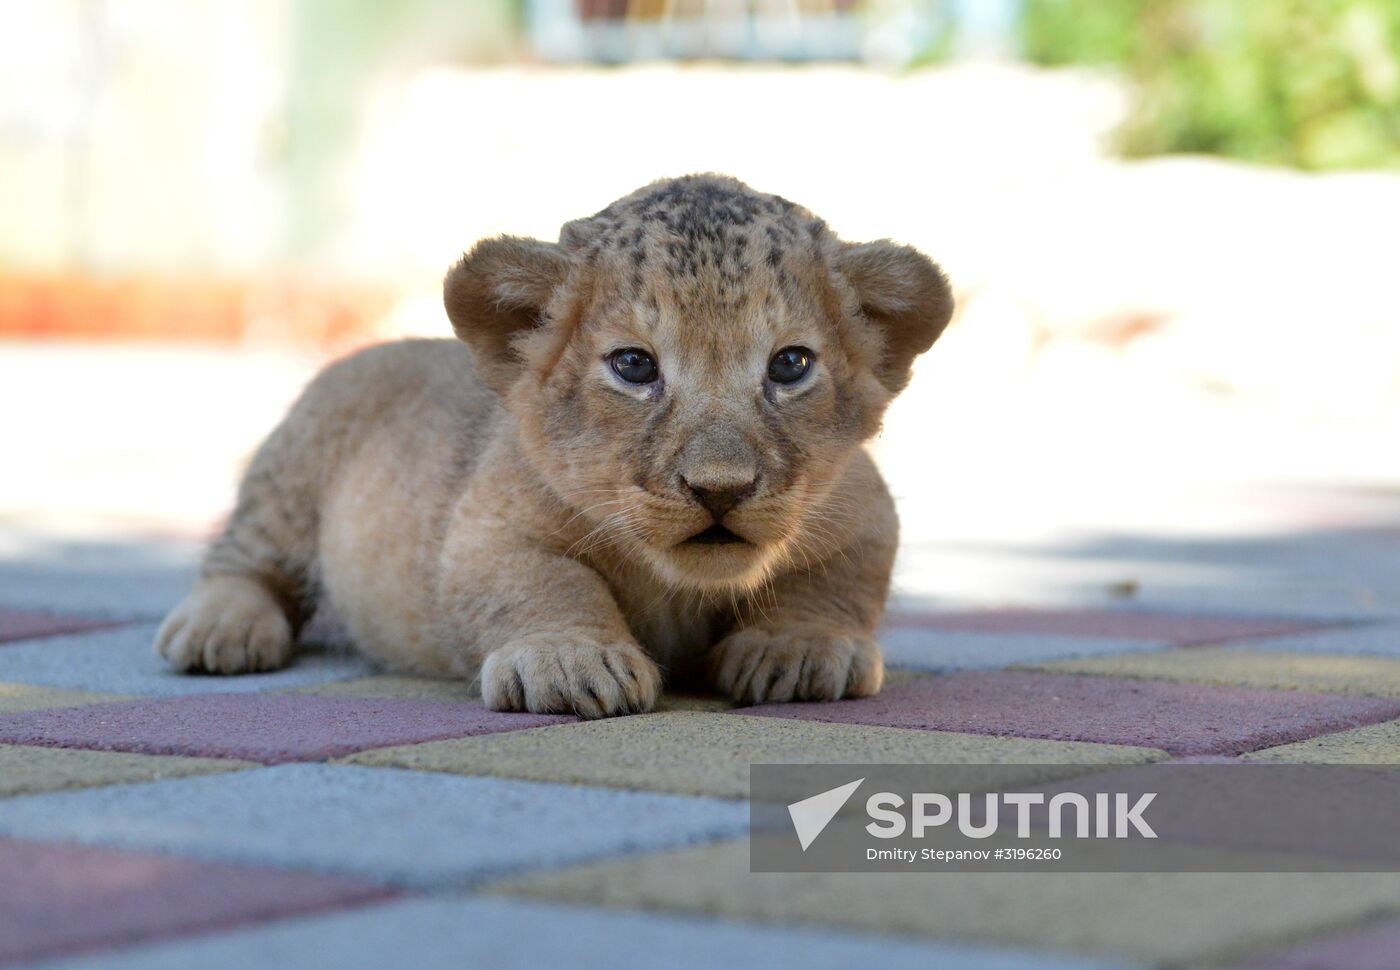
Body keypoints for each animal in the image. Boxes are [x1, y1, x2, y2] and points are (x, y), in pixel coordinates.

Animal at [155, 175, 953, 717]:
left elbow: (835, 577)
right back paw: (219, 629)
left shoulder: (859, 505)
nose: (719, 490)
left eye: (790, 365)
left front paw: (797, 648)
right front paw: (573, 662)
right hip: (291, 479)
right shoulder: (484, 527)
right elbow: (544, 580)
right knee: (243, 559)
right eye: (633, 365)